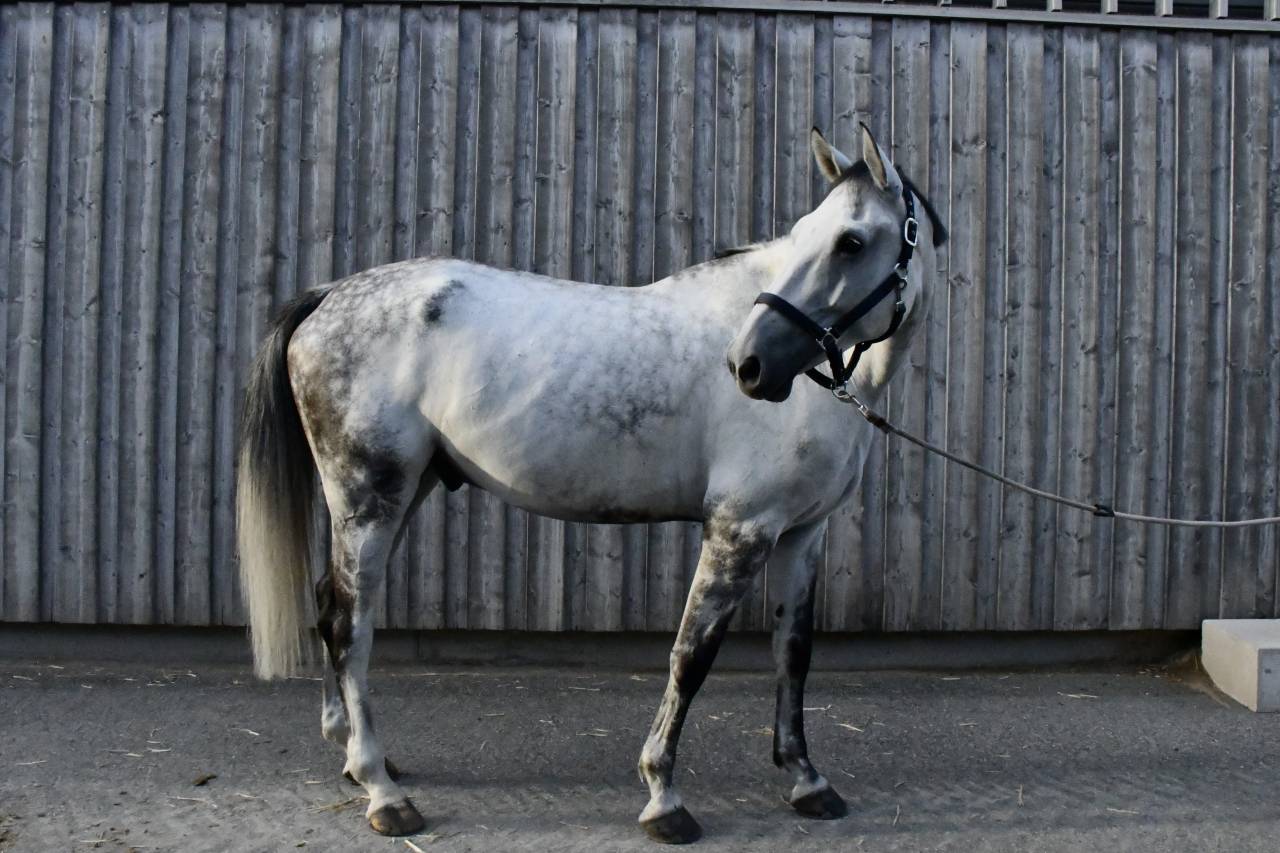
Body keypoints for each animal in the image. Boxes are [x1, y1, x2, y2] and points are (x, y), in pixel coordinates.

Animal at [236, 124, 946, 844]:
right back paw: (383, 791)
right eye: (808, 235)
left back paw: (358, 757)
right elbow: (691, 656)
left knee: (331, 604)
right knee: (349, 621)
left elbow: (793, 652)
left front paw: (808, 781)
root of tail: (328, 295)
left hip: (404, 493)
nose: (749, 365)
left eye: (850, 241)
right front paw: (663, 797)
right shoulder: (739, 530)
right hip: (369, 498)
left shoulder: (802, 534)